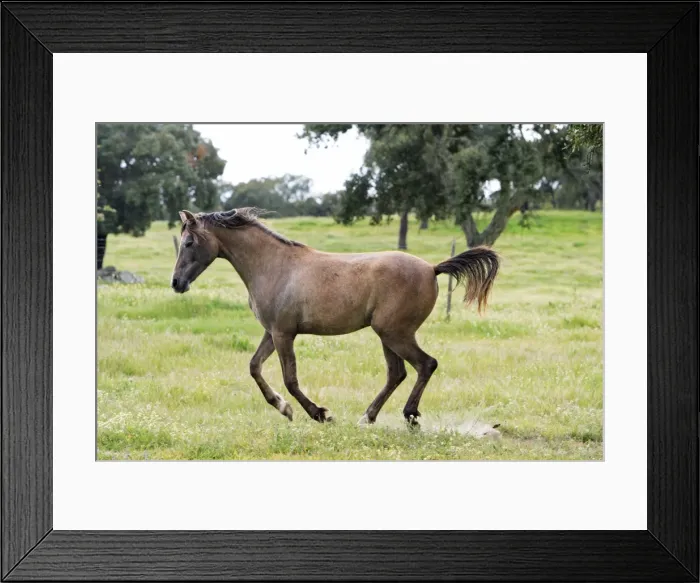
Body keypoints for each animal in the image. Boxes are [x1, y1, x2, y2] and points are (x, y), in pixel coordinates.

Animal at [171, 207, 500, 427]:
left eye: (189, 243)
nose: (176, 283)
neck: (273, 265)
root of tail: (432, 268)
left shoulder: (284, 333)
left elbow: (290, 379)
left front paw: (319, 414)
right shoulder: (272, 332)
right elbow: (254, 367)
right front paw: (284, 408)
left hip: (395, 333)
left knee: (425, 365)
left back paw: (409, 415)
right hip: (388, 335)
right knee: (397, 373)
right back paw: (367, 417)